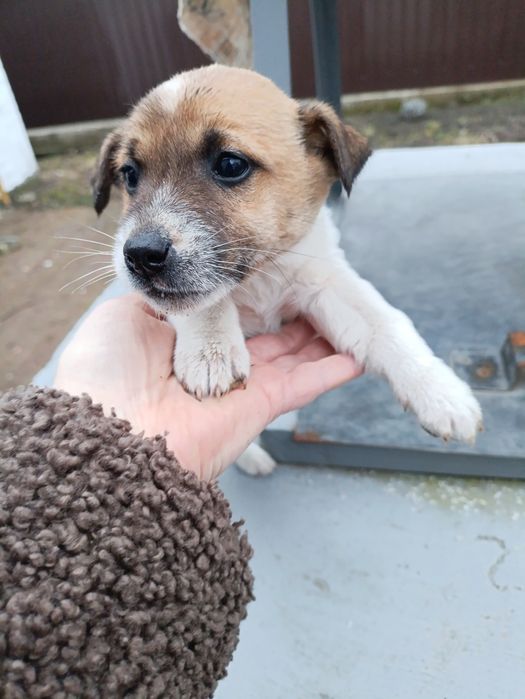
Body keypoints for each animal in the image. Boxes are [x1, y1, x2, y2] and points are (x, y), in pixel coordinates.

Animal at [92, 65, 483, 475]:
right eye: (130, 175)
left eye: (230, 164)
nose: (139, 254)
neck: (260, 275)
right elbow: (205, 302)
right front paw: (211, 351)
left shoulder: (325, 281)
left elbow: (386, 324)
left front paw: (440, 393)